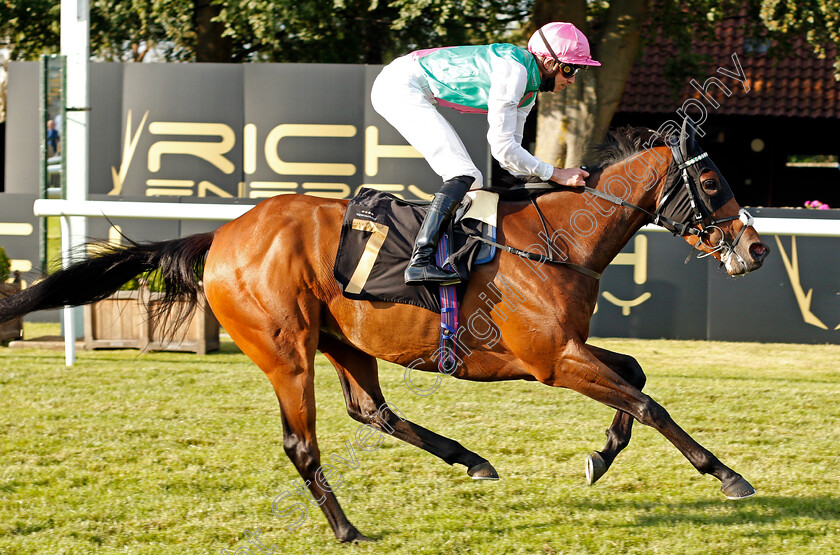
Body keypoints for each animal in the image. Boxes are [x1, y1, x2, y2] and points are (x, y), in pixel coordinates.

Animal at [0, 124, 768, 540]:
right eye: (714, 183)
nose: (758, 250)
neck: (555, 241)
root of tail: (221, 235)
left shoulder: (566, 349)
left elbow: (635, 374)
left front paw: (601, 455)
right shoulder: (552, 359)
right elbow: (648, 400)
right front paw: (726, 474)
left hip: (344, 341)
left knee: (371, 408)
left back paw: (469, 458)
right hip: (285, 350)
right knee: (302, 442)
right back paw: (345, 527)